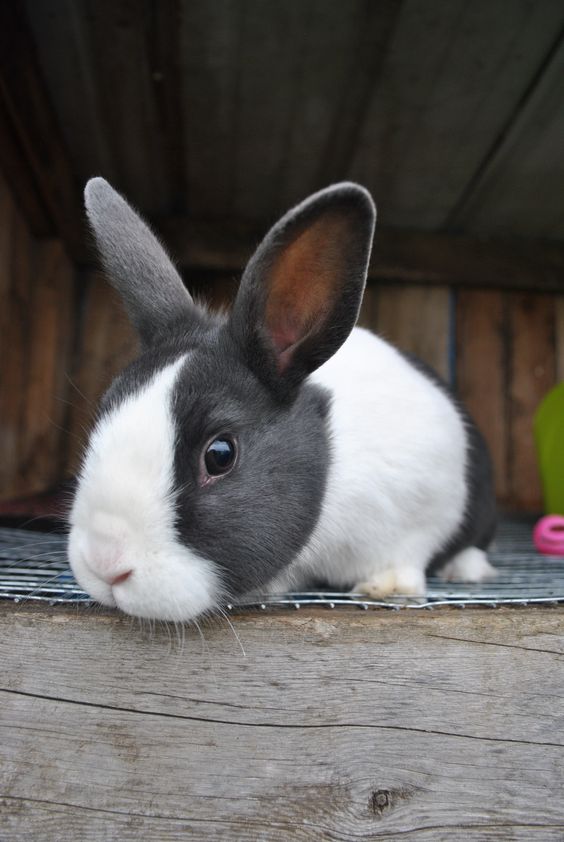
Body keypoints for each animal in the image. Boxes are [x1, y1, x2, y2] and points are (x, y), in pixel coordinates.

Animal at [68, 177, 497, 621]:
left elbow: (408, 554)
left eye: (220, 455)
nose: (105, 563)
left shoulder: (423, 504)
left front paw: (386, 589)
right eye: (103, 415)